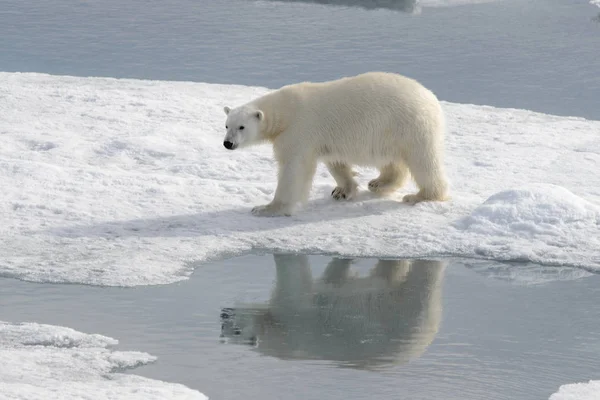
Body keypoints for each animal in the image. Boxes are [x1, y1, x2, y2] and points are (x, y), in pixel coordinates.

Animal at [220, 255, 446, 370]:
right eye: (224, 330)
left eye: (237, 330)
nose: (223, 314)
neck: (276, 334)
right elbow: (333, 277)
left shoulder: (293, 316)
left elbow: (295, 279)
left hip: (405, 310)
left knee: (421, 278)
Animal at [223, 71, 448, 216]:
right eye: (226, 125)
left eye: (241, 127)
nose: (228, 143)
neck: (285, 111)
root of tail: (431, 97)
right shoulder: (323, 139)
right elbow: (335, 161)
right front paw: (342, 190)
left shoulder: (299, 131)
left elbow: (293, 169)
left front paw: (267, 208)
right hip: (390, 132)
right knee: (393, 161)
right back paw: (378, 183)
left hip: (410, 125)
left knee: (423, 161)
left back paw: (420, 196)